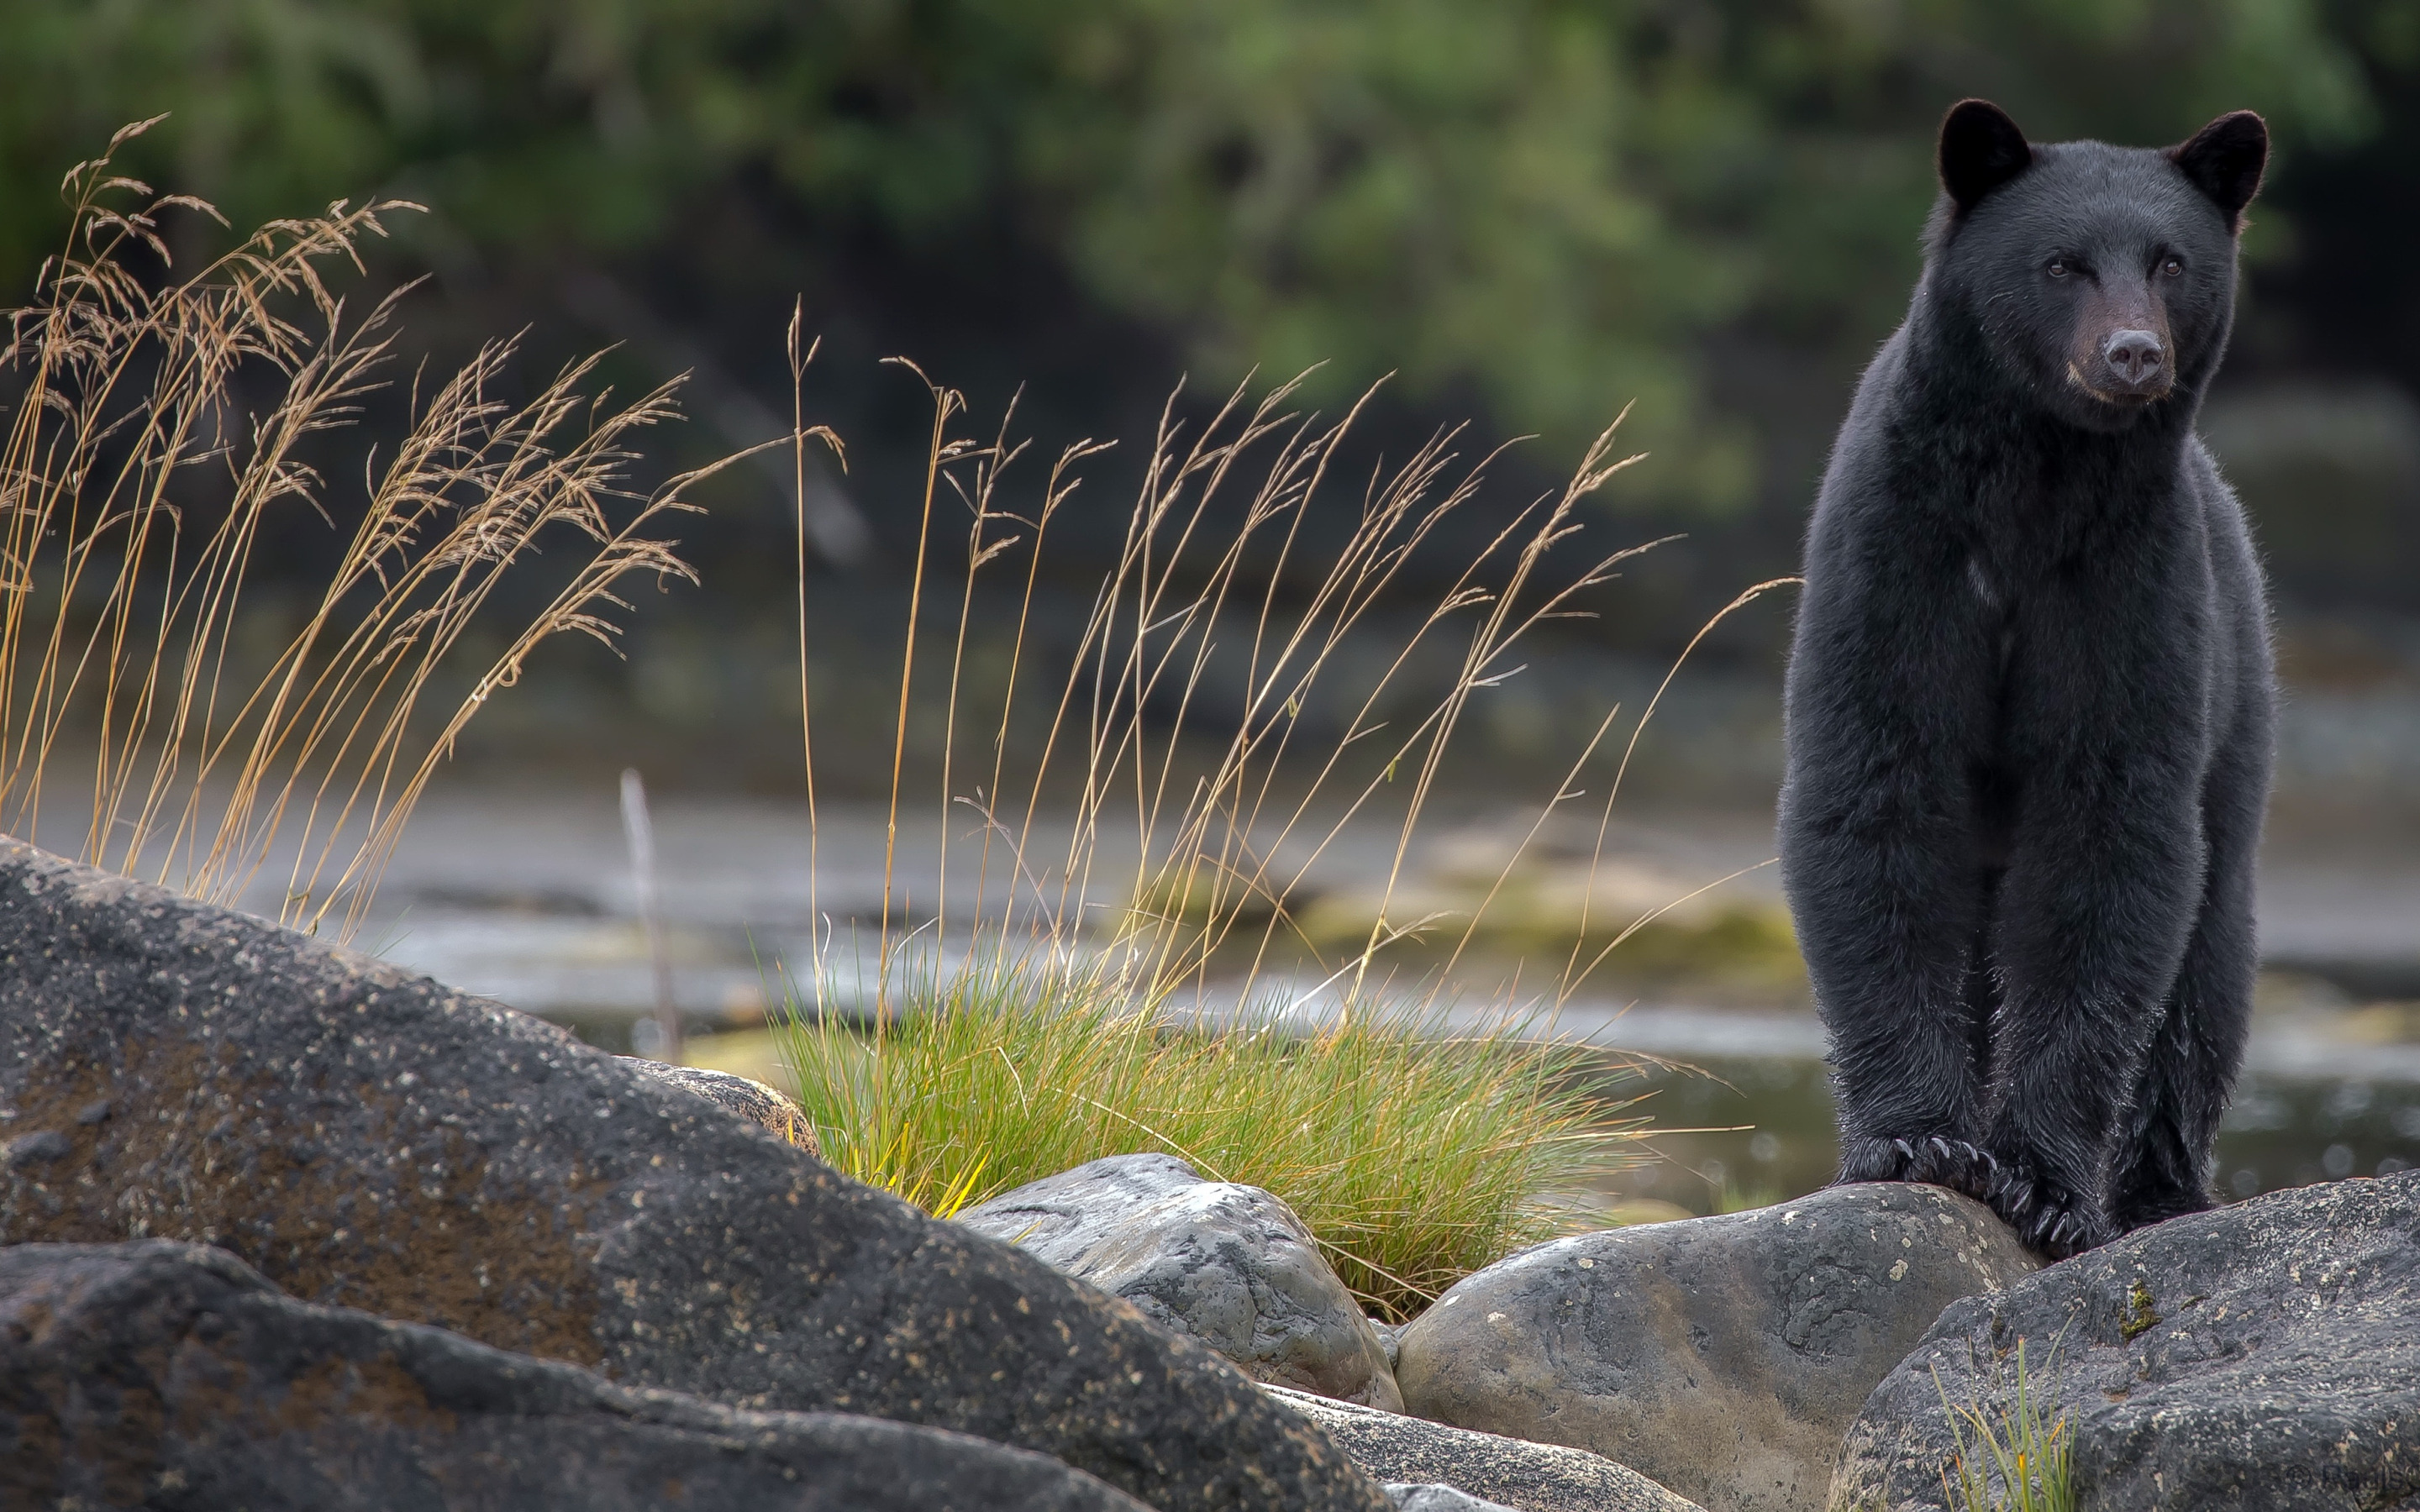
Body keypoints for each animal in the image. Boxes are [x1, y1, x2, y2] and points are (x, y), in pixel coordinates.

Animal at [1781, 100, 2265, 1257]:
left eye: (2171, 261)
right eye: (2062, 264)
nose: (2132, 353)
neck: (2036, 482)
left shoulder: (2128, 585)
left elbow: (2111, 831)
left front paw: (2043, 1181)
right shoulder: (1898, 557)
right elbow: (1878, 791)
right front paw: (1920, 1141)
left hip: (2239, 708)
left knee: (2207, 970)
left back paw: (2162, 1189)